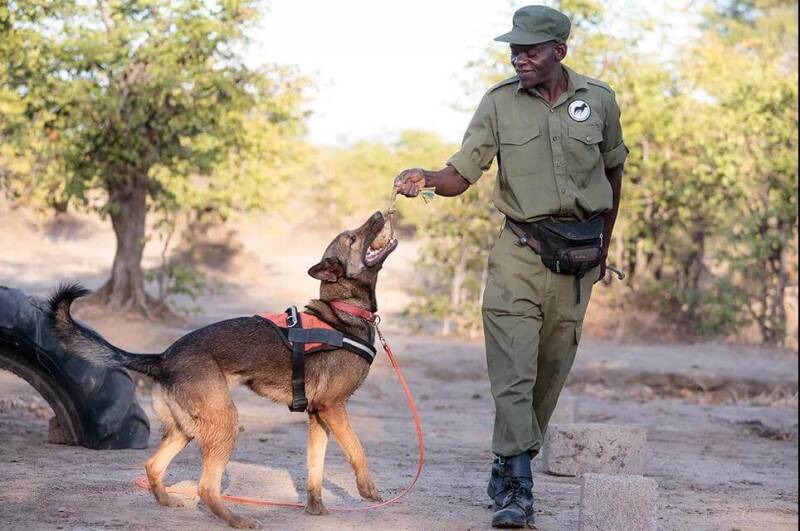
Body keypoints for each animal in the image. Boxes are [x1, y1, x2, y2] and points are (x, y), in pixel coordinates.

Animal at [48, 211, 398, 528]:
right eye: (352, 238)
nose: (380, 212)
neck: (342, 313)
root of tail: (163, 358)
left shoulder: (318, 415)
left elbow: (315, 468)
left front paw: (316, 510)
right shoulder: (333, 407)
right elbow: (357, 449)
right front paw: (368, 490)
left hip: (187, 429)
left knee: (153, 465)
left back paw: (168, 500)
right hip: (225, 422)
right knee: (205, 487)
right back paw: (237, 520)